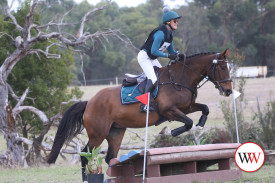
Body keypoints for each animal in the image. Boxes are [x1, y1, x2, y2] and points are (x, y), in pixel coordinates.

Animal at [47, 48, 233, 180]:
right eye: (223, 67)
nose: (229, 91)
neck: (180, 79)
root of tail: (89, 102)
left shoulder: (187, 107)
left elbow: (204, 109)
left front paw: (200, 124)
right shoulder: (169, 111)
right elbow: (187, 123)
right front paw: (169, 131)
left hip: (115, 132)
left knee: (110, 157)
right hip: (98, 134)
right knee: (86, 153)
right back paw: (87, 178)